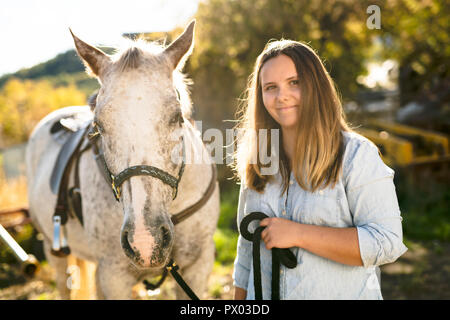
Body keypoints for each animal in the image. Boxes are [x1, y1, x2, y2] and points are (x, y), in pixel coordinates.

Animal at [25, 21, 221, 300]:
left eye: (177, 118)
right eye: (99, 126)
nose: (145, 239)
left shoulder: (199, 264)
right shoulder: (113, 277)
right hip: (55, 253)